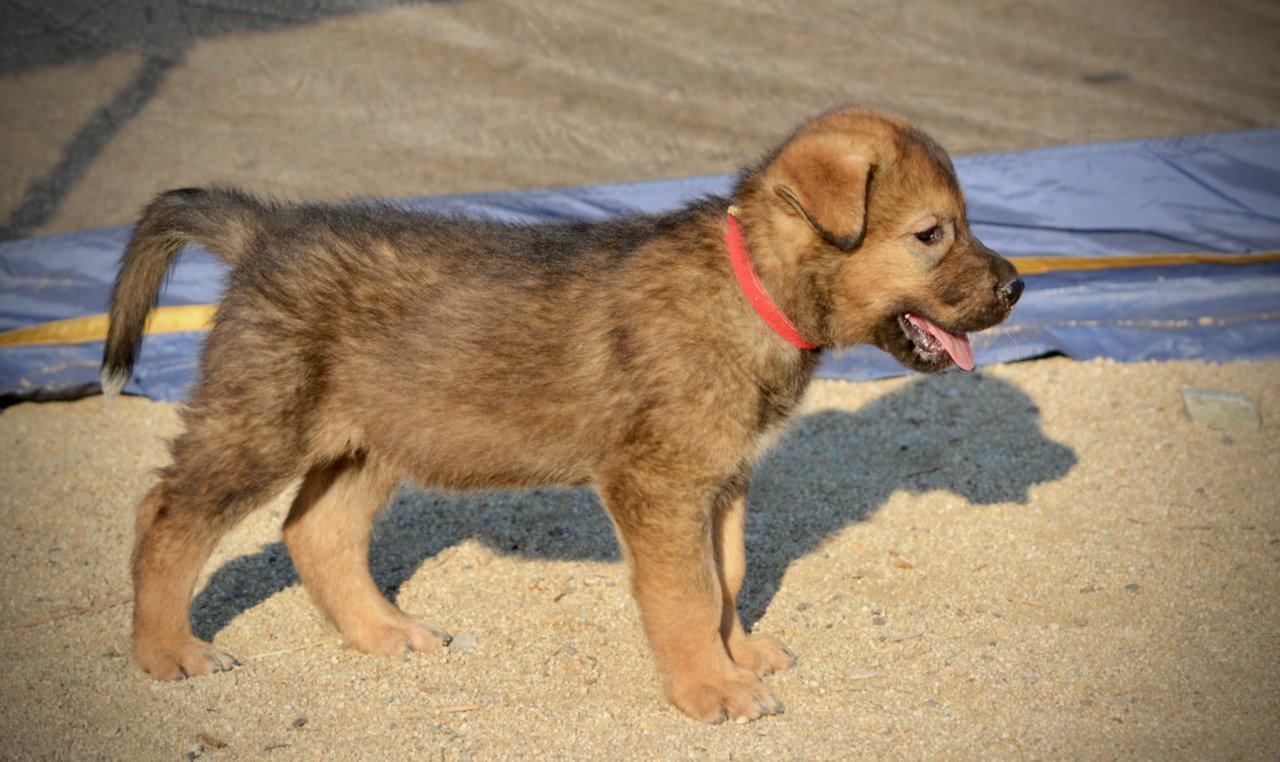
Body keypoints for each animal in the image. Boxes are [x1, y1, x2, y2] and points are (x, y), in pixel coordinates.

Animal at [102, 105, 1018, 722]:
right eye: (932, 234)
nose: (1017, 286)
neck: (749, 284)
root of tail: (265, 233)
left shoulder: (719, 479)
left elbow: (726, 576)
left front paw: (738, 655)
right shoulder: (659, 484)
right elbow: (688, 593)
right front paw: (709, 688)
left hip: (375, 441)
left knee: (314, 532)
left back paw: (384, 632)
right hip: (263, 422)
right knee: (167, 515)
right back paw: (165, 651)